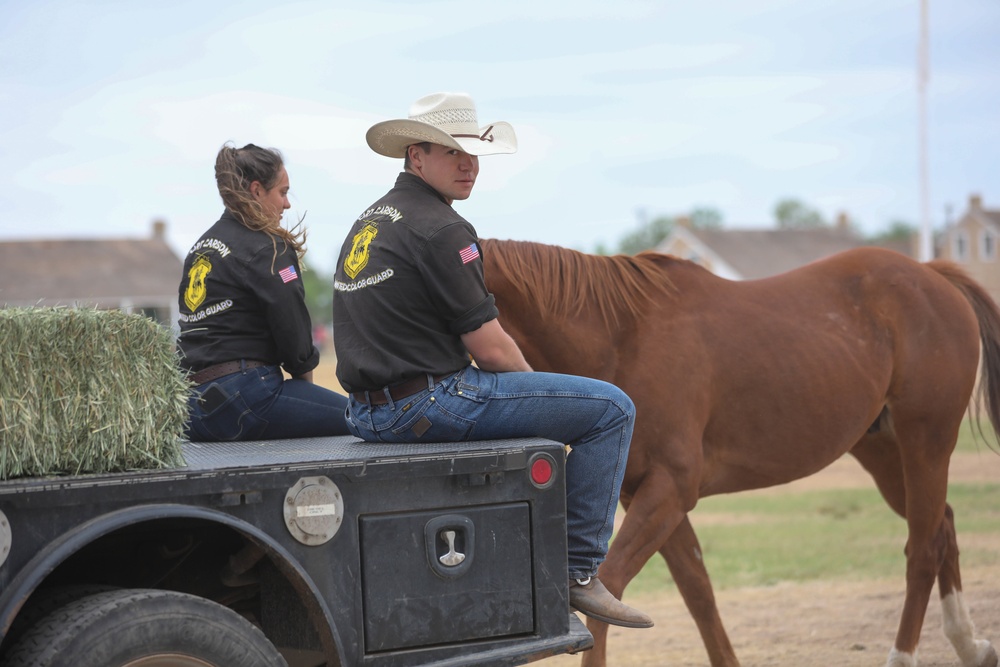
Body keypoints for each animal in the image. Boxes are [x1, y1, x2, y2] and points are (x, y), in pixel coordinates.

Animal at [480, 240, 996, 667]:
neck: (623, 338)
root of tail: (930, 274)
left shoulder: (669, 490)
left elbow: (609, 589)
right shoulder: (645, 496)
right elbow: (698, 591)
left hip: (926, 441)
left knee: (923, 548)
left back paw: (904, 655)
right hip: (883, 451)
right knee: (943, 528)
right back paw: (969, 646)